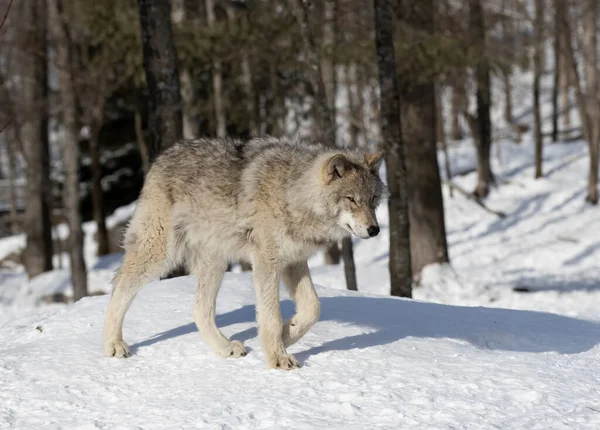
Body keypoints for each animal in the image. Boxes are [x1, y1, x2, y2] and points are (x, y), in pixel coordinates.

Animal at [102, 138, 384, 370]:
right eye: (351, 199)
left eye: (373, 199)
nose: (375, 229)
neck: (292, 192)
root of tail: (162, 158)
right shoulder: (266, 262)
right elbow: (271, 315)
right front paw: (278, 357)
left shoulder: (294, 261)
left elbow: (312, 308)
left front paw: (286, 335)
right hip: (160, 254)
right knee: (120, 288)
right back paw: (113, 344)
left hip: (215, 263)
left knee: (199, 310)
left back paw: (225, 348)